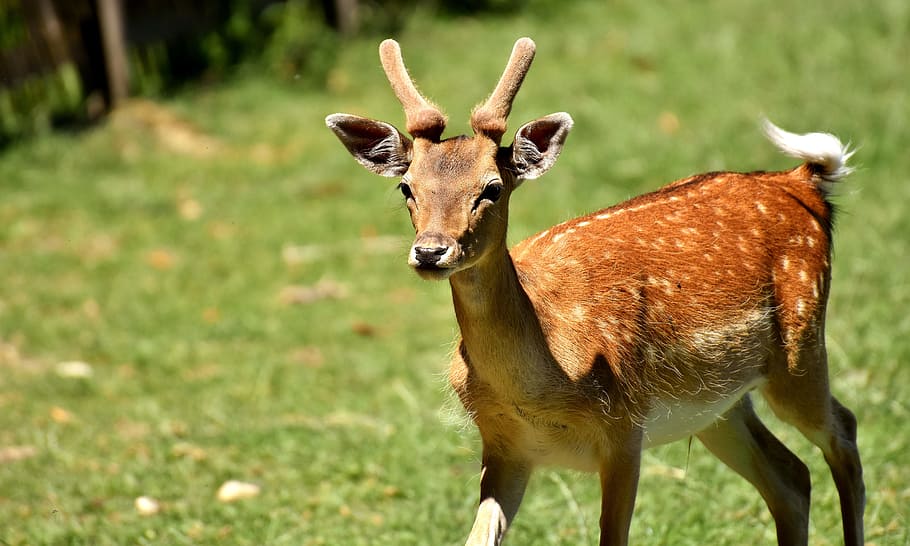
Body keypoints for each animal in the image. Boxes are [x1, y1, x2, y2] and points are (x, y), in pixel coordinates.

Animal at [324, 37, 864, 544]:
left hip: (800, 346)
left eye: (492, 187)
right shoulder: (503, 445)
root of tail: (803, 181)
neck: (545, 382)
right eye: (406, 187)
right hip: (719, 406)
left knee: (845, 432)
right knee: (791, 477)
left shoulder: (624, 426)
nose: (431, 251)